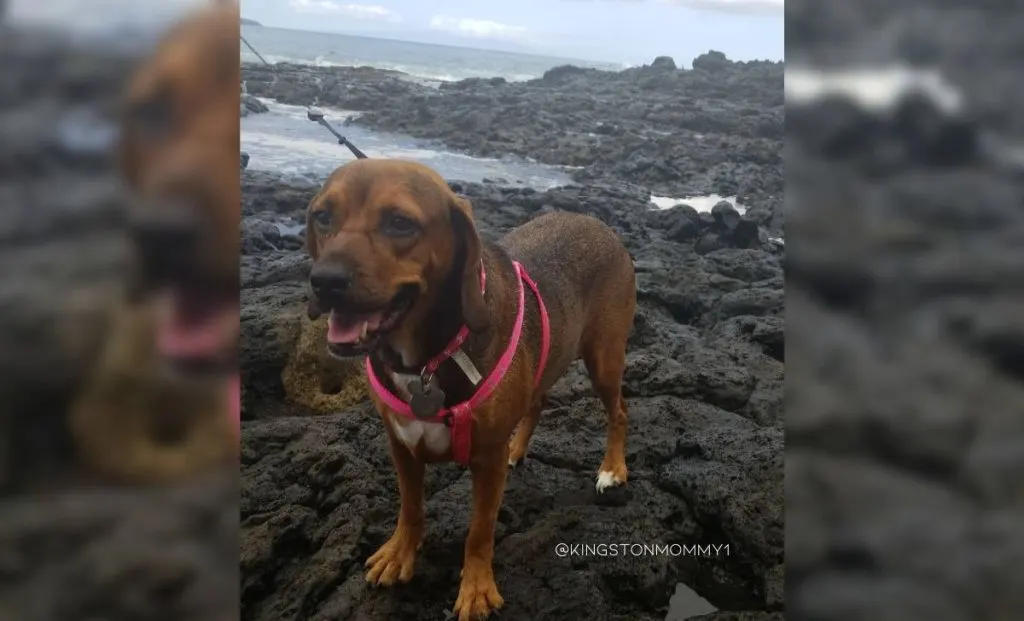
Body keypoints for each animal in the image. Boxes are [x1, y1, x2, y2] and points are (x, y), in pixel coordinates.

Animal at [307, 159, 634, 618]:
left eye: (399, 223)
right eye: (322, 216)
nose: (324, 281)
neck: (427, 360)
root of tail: (594, 221)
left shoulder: (487, 462)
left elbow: (479, 530)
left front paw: (477, 587)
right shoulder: (401, 447)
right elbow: (410, 507)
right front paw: (400, 553)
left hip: (604, 358)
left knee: (618, 411)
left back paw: (613, 468)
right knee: (537, 402)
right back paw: (520, 447)